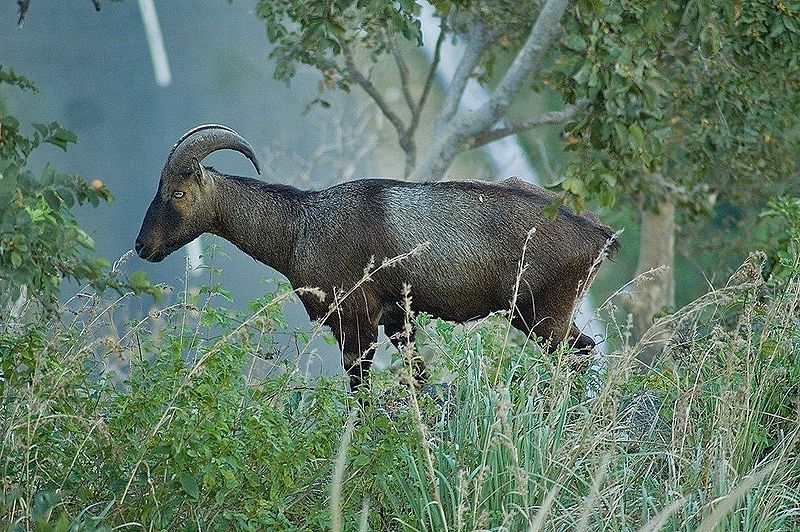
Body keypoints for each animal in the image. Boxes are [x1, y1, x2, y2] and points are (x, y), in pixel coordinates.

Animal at [136, 124, 620, 390]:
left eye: (177, 193)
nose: (143, 246)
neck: (301, 227)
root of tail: (600, 234)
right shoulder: (396, 319)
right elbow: (418, 377)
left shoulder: (355, 321)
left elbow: (360, 392)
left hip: (541, 316)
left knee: (580, 354)